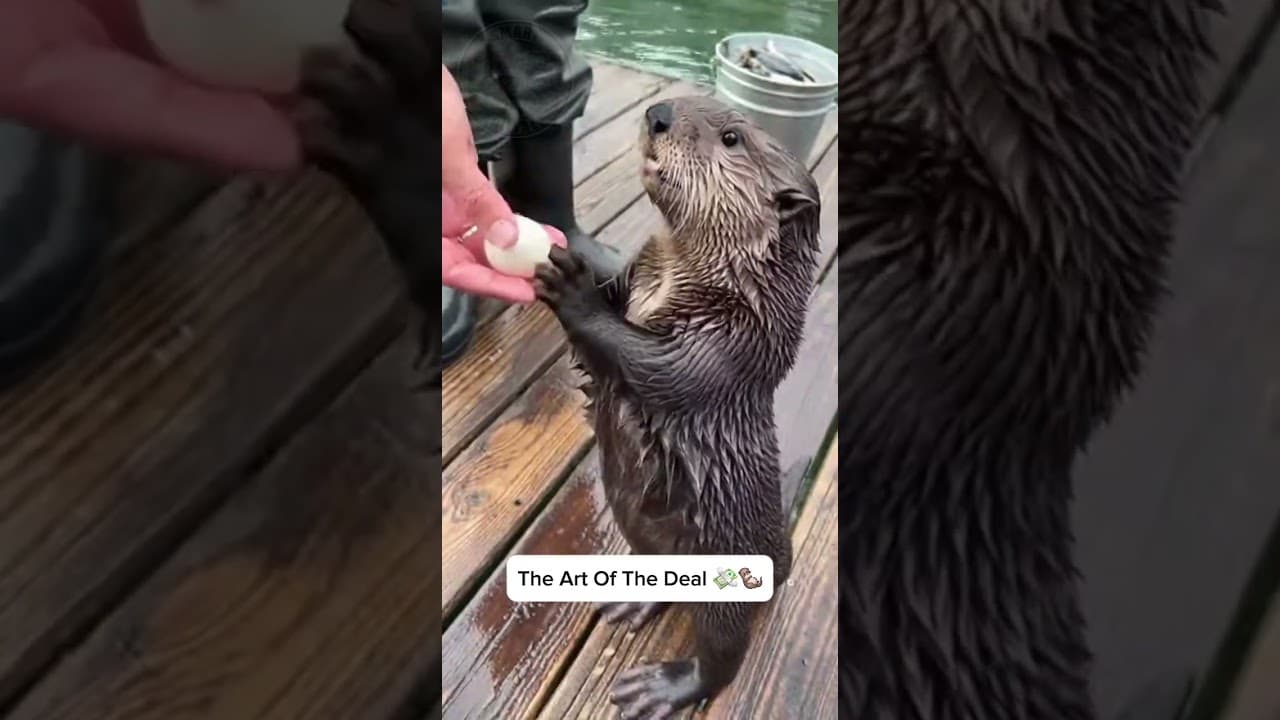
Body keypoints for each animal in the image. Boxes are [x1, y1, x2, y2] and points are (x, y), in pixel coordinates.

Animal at [534, 96, 821, 718]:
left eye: (732, 137)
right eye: (696, 103)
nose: (658, 115)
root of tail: (782, 554)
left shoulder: (727, 344)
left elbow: (653, 366)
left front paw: (572, 289)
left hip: (726, 585)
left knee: (723, 657)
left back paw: (662, 687)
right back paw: (633, 602)